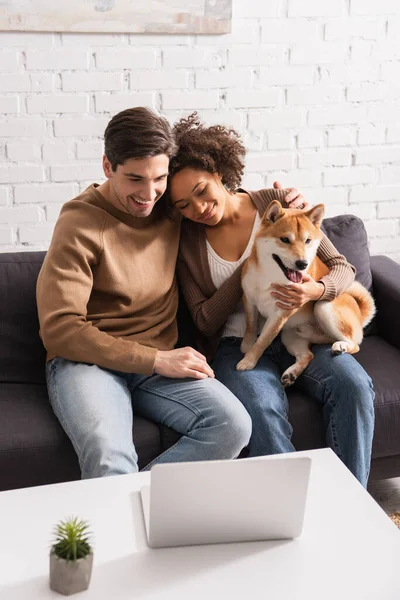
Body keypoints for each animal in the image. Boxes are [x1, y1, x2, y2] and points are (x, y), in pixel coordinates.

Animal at [234, 202, 376, 390]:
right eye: (285, 239)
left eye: (307, 241)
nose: (302, 264)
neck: (271, 276)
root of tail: (360, 314)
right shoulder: (249, 300)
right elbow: (251, 325)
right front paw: (247, 345)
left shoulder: (280, 314)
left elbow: (263, 341)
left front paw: (249, 360)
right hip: (290, 335)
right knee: (308, 355)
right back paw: (291, 374)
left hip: (324, 307)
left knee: (355, 345)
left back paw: (341, 346)